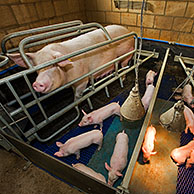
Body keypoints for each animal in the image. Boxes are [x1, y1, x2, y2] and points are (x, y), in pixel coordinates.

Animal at [7, 24, 135, 99]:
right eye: (37, 68)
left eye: (54, 65)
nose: (37, 83)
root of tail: (126, 29)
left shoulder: (83, 79)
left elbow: (77, 95)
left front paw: (78, 100)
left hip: (126, 52)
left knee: (124, 65)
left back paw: (123, 78)